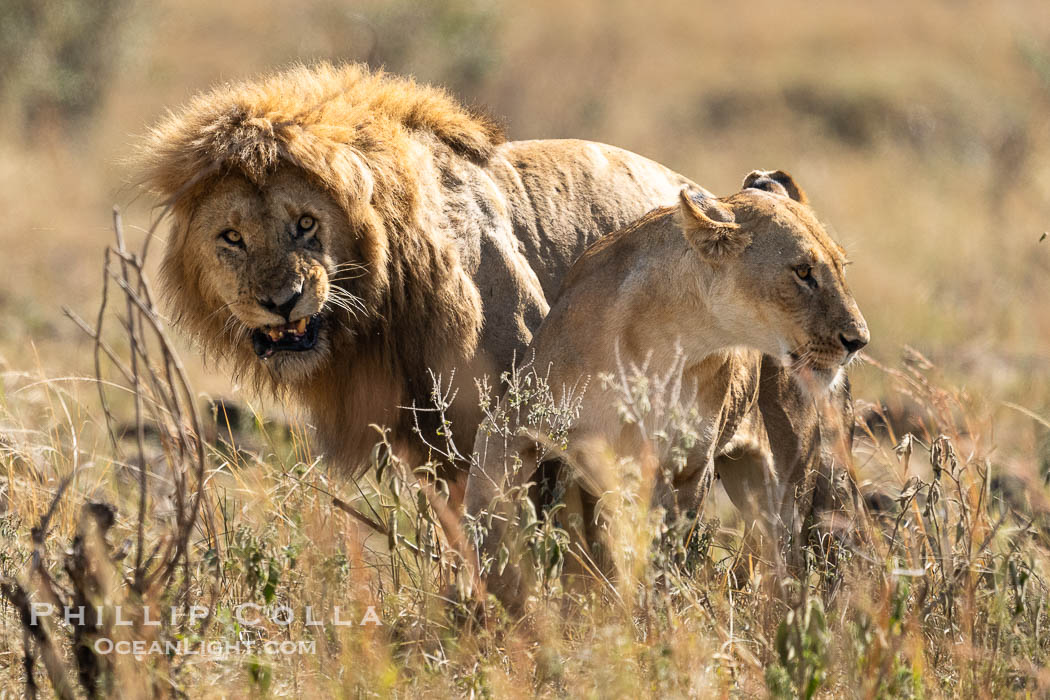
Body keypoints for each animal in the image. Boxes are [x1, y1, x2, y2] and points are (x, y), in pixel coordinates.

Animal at [137, 62, 844, 505]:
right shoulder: (433, 453)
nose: (279, 301)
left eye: (305, 225)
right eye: (231, 238)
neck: (382, 311)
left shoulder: (523, 434)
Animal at [468, 171, 869, 608]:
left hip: (790, 477)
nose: (859, 340)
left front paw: (657, 610)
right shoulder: (513, 428)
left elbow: (664, 553)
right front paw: (498, 598)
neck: (670, 341)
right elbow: (487, 511)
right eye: (802, 272)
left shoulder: (687, 466)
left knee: (789, 556)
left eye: (841, 267)